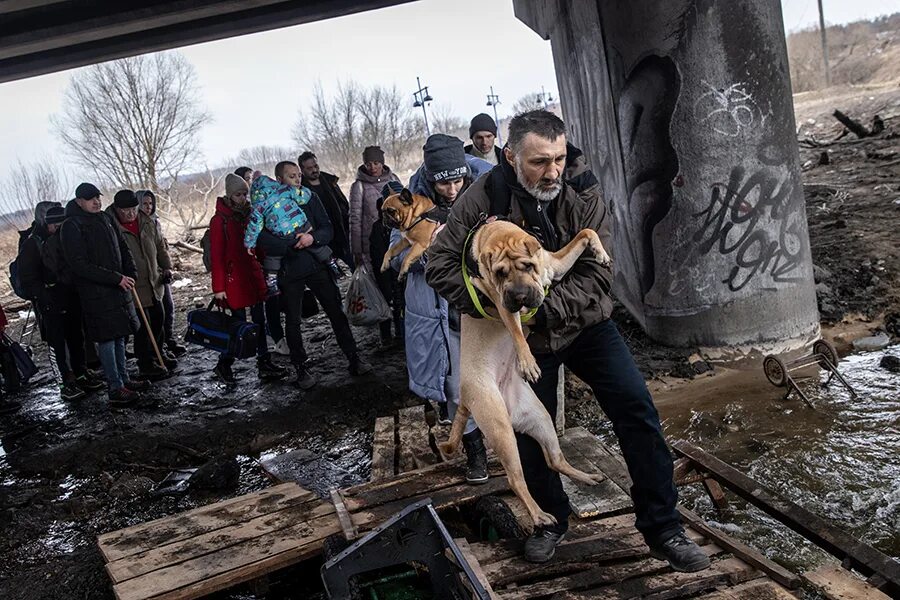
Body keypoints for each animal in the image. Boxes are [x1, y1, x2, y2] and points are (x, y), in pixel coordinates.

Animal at [442, 219, 616, 524]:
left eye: (528, 265)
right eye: (500, 273)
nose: (521, 295)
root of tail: (465, 396)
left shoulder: (554, 264)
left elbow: (585, 233)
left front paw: (601, 253)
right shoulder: (500, 303)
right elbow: (516, 332)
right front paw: (527, 362)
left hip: (541, 418)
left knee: (554, 460)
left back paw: (587, 477)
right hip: (502, 431)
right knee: (516, 480)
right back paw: (539, 516)